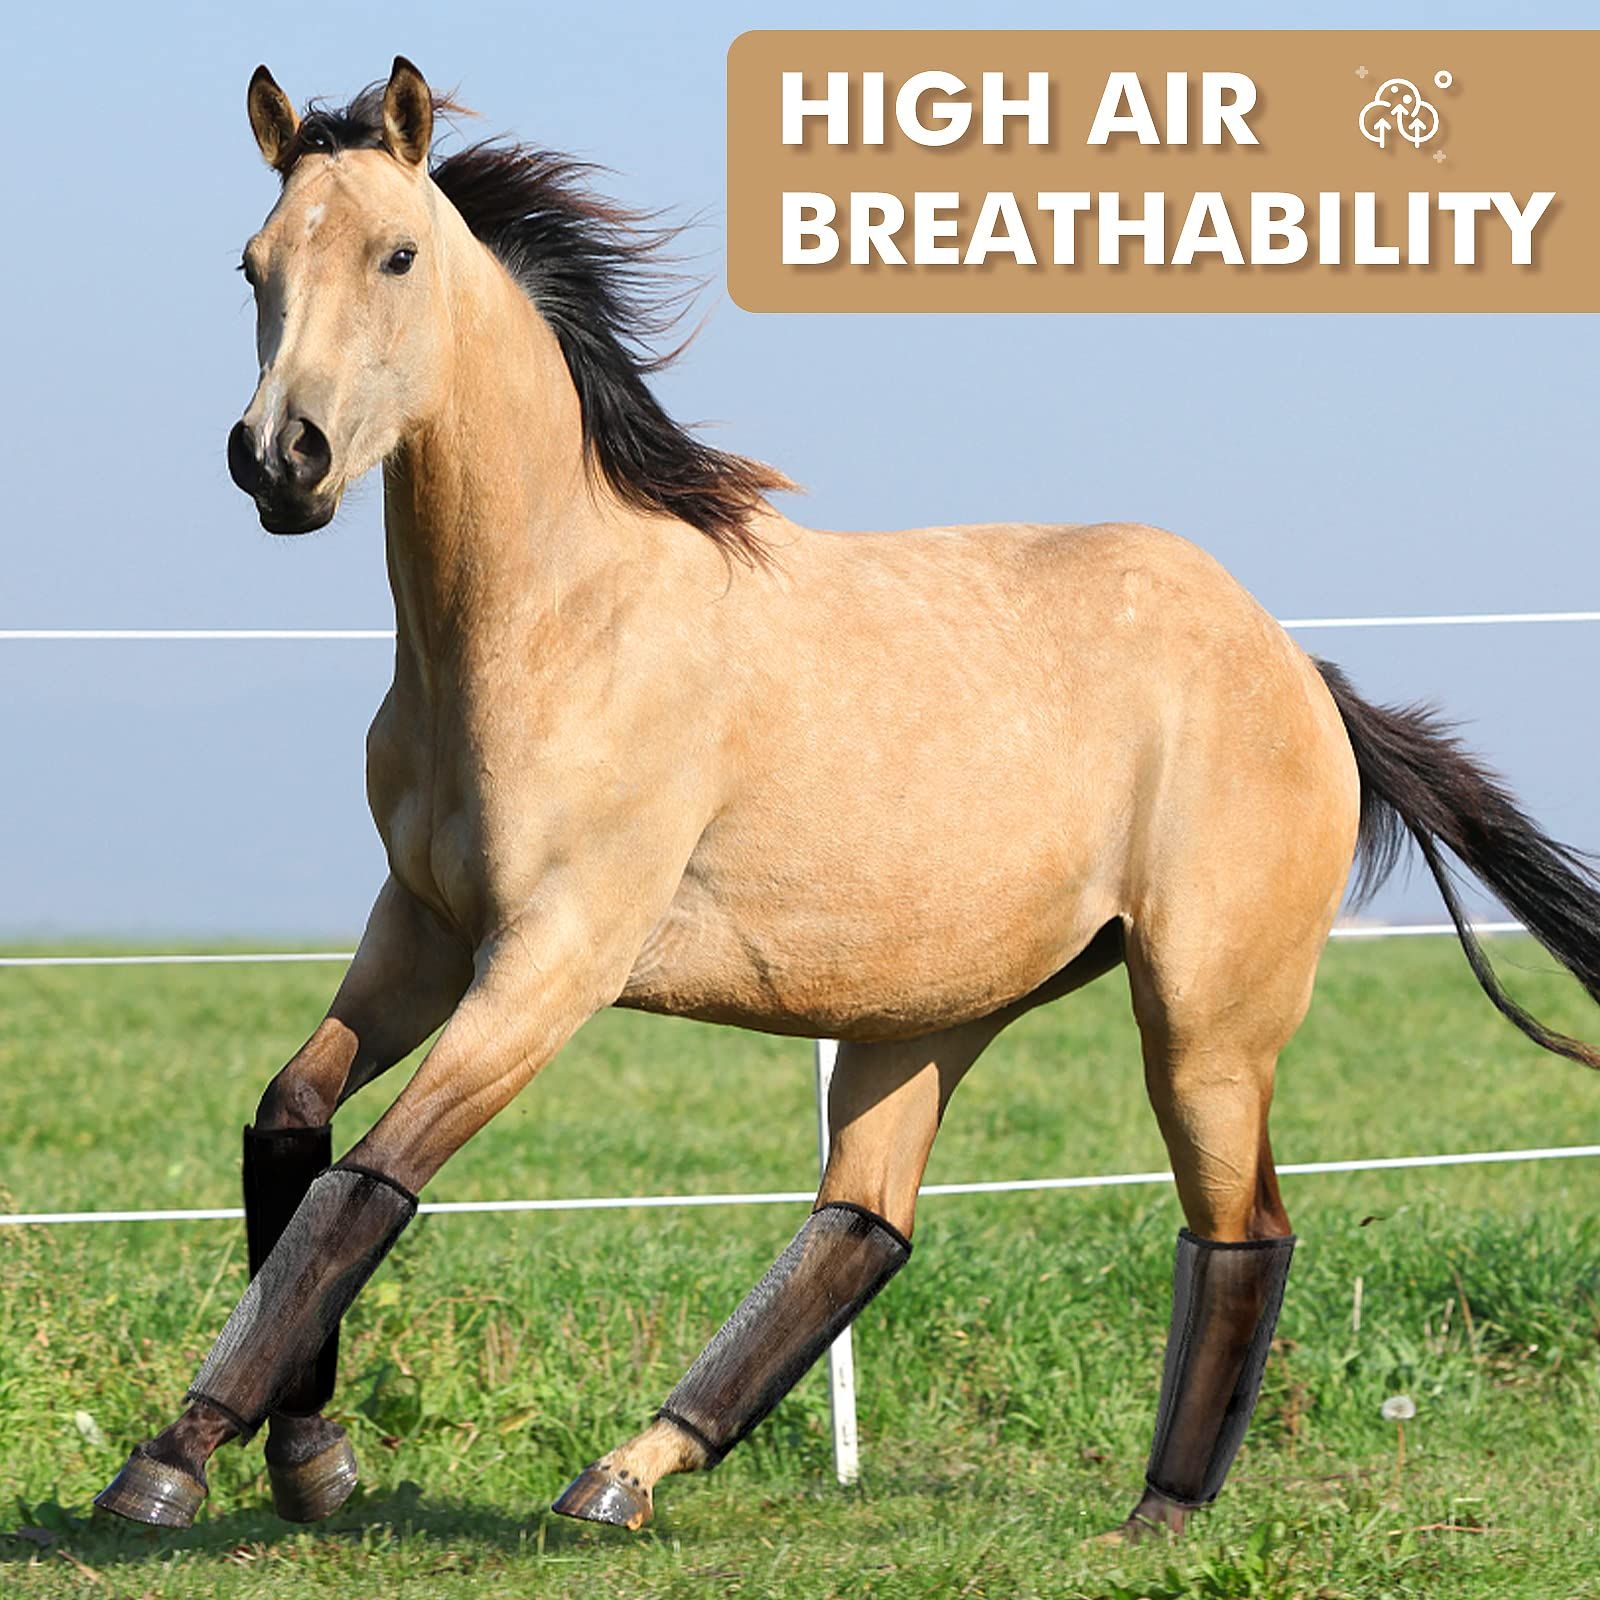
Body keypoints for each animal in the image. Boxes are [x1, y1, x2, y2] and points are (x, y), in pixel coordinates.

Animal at [96, 58, 1600, 1542]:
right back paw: (625, 1475)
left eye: (398, 254)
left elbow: (370, 1179)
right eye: (253, 265)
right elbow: (292, 1126)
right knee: (865, 1224)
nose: (279, 458)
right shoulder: (417, 931)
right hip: (931, 1013)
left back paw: (1157, 1519)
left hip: (1204, 1017)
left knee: (1242, 1230)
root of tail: (1300, 669)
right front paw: (309, 1456)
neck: (551, 622)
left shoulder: (553, 962)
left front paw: (172, 1460)